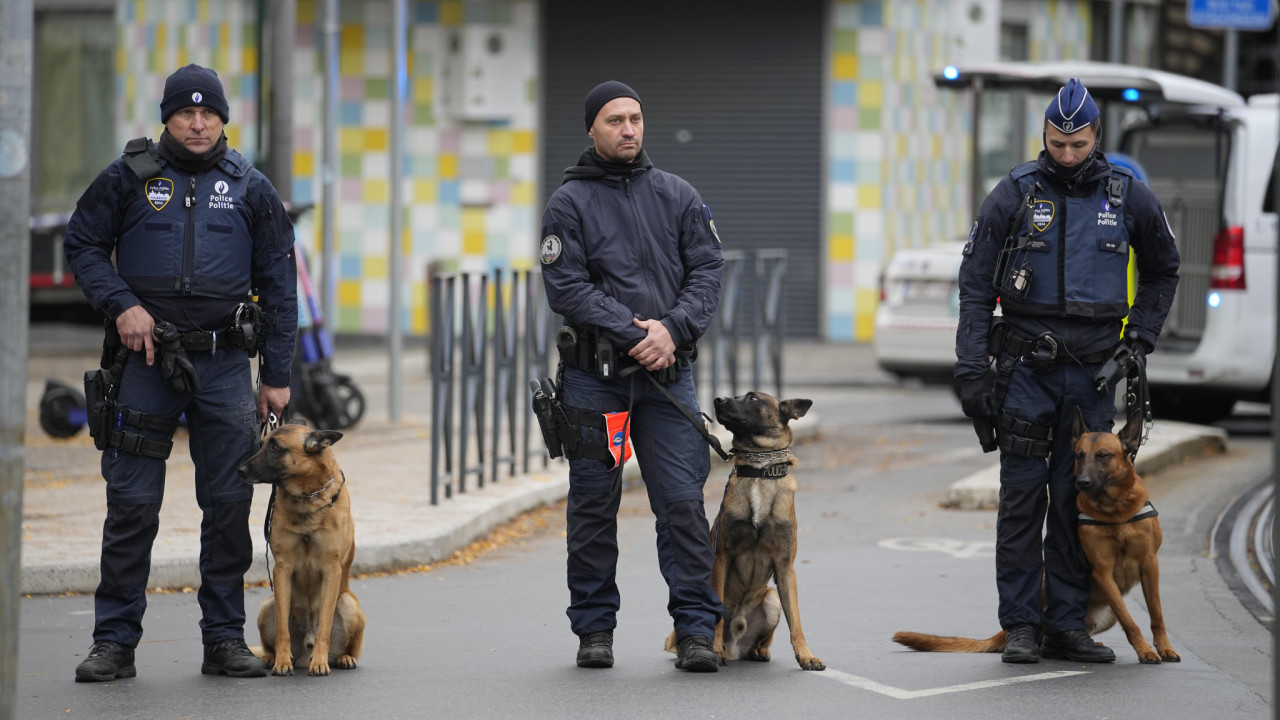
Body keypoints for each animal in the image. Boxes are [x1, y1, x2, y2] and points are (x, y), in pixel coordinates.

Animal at [238, 420, 368, 671]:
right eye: (261, 444)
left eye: (275, 447)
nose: (240, 470)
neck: (307, 498)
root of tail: (303, 652)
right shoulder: (282, 569)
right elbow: (282, 630)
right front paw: (281, 662)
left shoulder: (331, 570)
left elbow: (324, 626)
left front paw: (319, 663)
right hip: (267, 606)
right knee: (272, 639)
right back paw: (272, 658)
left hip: (349, 604)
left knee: (347, 646)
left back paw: (342, 658)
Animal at [665, 392, 824, 666]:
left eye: (752, 398)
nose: (718, 400)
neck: (759, 471)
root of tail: (735, 646)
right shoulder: (722, 556)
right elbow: (716, 614)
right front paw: (714, 650)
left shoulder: (785, 567)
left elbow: (796, 621)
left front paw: (806, 655)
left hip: (772, 599)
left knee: (762, 639)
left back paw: (759, 651)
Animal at [890, 407, 1177, 666]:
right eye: (1079, 456)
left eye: (1104, 456)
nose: (1081, 482)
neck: (1114, 510)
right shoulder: (1102, 571)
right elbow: (1130, 619)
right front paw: (1145, 650)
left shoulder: (1150, 564)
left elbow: (1157, 614)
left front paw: (1164, 648)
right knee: (1044, 639)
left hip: (1105, 615)